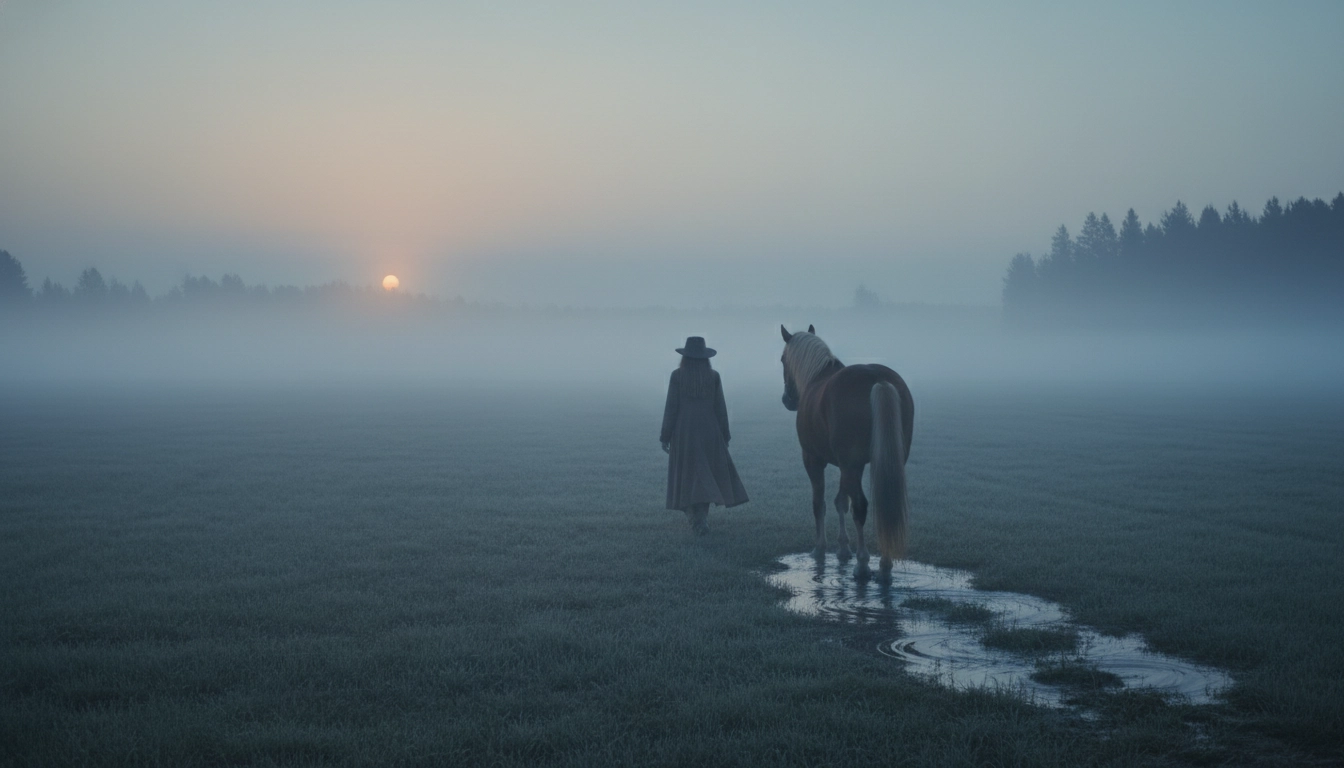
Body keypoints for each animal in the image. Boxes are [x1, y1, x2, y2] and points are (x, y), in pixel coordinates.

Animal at [780, 325, 914, 579]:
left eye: (782, 359)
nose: (787, 400)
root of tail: (878, 380)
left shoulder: (814, 460)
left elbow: (819, 504)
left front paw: (820, 548)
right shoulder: (847, 464)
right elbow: (841, 501)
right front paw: (843, 548)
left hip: (848, 465)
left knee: (861, 506)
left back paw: (863, 565)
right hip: (888, 462)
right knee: (885, 505)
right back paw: (884, 564)